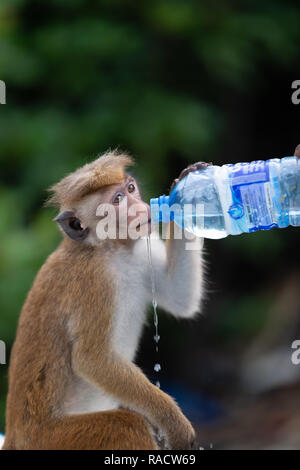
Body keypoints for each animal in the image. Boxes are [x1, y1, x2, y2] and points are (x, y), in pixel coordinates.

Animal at [2, 151, 205, 452]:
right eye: (117, 200)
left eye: (130, 189)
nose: (141, 206)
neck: (110, 249)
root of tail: (14, 437)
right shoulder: (94, 281)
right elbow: (92, 358)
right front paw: (172, 420)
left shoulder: (139, 250)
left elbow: (179, 298)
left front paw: (187, 187)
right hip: (55, 440)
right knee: (128, 427)